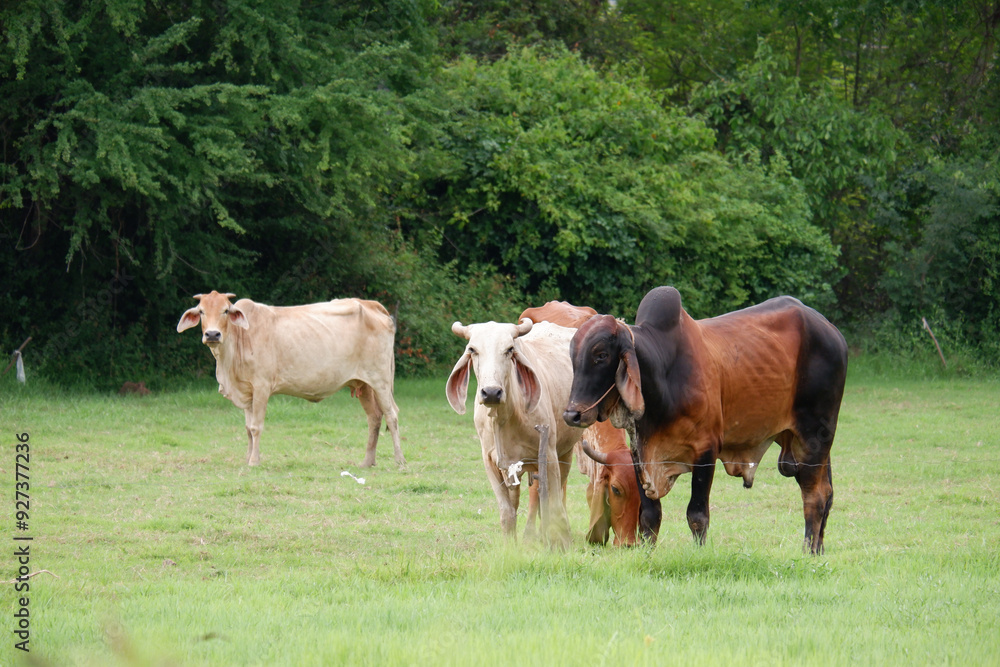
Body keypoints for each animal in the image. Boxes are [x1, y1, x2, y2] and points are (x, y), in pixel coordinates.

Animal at [177, 291, 405, 468]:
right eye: (201, 311)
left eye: (225, 310)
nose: (212, 334)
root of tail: (369, 304)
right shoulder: (247, 392)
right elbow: (248, 429)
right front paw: (248, 458)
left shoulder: (261, 386)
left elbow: (256, 427)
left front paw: (254, 461)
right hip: (364, 385)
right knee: (374, 417)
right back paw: (367, 462)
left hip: (381, 380)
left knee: (392, 415)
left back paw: (400, 461)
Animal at [446, 318, 581, 548]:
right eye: (472, 349)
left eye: (509, 349)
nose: (491, 392)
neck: (504, 418)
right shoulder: (492, 462)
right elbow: (507, 510)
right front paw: (511, 546)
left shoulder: (549, 455)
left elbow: (554, 505)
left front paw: (562, 543)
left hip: (565, 451)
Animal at [563, 286, 847, 554]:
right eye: (573, 356)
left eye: (601, 355)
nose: (571, 414)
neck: (664, 375)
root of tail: (832, 331)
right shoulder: (640, 456)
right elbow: (650, 515)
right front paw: (648, 553)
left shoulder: (706, 450)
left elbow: (697, 515)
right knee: (828, 492)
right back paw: (819, 550)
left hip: (814, 435)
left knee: (815, 495)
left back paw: (808, 552)